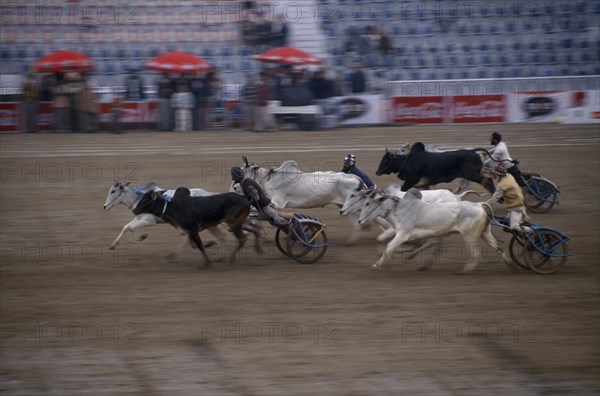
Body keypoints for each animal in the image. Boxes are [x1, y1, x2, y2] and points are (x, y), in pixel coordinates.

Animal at [356, 189, 510, 272]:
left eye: (368, 203)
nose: (359, 221)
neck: (399, 209)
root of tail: (478, 205)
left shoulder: (402, 235)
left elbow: (388, 249)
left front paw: (375, 266)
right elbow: (388, 246)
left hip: (470, 237)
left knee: (475, 253)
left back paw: (464, 270)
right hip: (485, 233)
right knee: (497, 247)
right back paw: (511, 265)